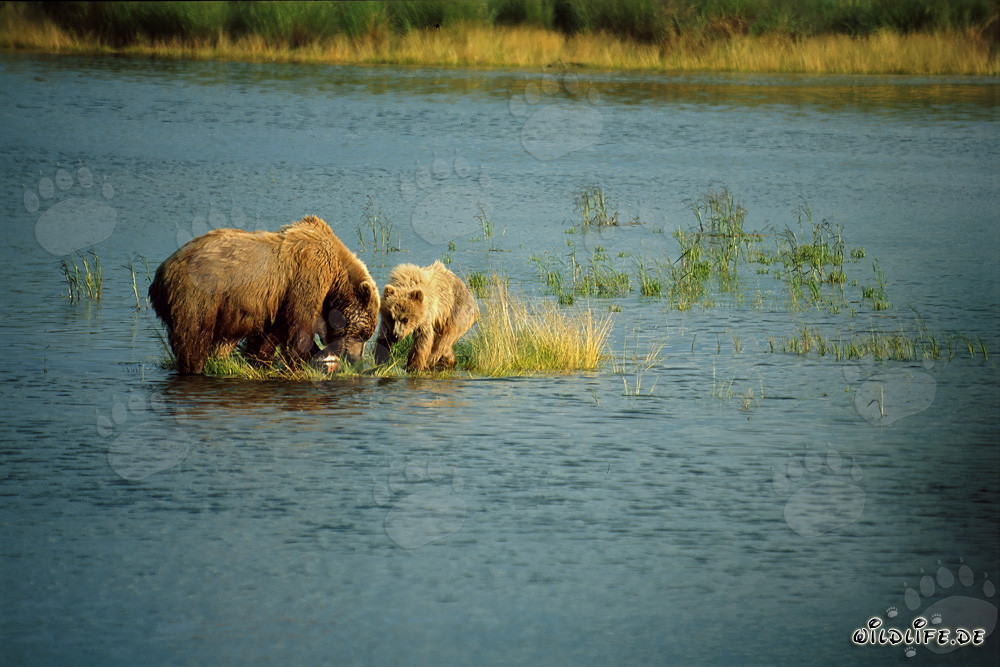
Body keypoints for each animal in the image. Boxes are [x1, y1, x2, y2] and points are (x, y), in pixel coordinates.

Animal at [149, 215, 379, 375]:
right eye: (363, 334)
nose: (356, 359)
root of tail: (160, 275)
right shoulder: (308, 274)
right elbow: (299, 323)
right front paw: (310, 356)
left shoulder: (278, 298)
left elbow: (271, 333)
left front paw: (259, 359)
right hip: (197, 295)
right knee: (194, 336)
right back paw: (195, 367)